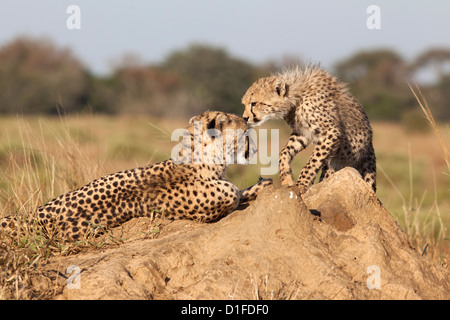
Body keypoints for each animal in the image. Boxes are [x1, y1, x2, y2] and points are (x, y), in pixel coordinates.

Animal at [0, 110, 270, 240]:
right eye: (245, 131)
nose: (256, 148)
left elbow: (243, 190)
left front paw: (261, 184)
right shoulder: (219, 203)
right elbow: (236, 195)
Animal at [243, 65, 376, 192]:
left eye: (254, 103)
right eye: (245, 104)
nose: (245, 118)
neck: (296, 96)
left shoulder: (331, 132)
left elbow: (313, 162)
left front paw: (302, 184)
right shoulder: (303, 133)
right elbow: (284, 152)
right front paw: (287, 179)